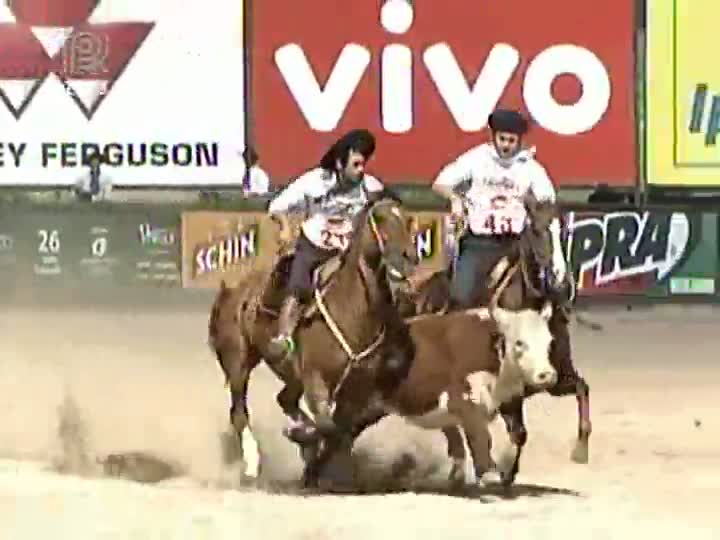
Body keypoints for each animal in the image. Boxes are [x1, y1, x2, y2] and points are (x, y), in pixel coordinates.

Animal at [207, 196, 422, 488]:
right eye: (380, 217)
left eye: (408, 218)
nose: (409, 256)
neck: (351, 307)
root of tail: (233, 290)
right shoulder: (315, 381)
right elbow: (327, 426)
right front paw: (302, 439)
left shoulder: (358, 389)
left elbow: (341, 430)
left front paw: (317, 461)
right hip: (238, 360)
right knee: (239, 411)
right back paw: (253, 464)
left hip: (291, 376)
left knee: (285, 400)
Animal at [394, 197, 592, 486]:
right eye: (537, 230)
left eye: (565, 230)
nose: (561, 281)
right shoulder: (507, 393)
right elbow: (518, 432)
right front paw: (505, 471)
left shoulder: (556, 377)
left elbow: (582, 390)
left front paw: (580, 451)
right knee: (450, 424)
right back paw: (458, 469)